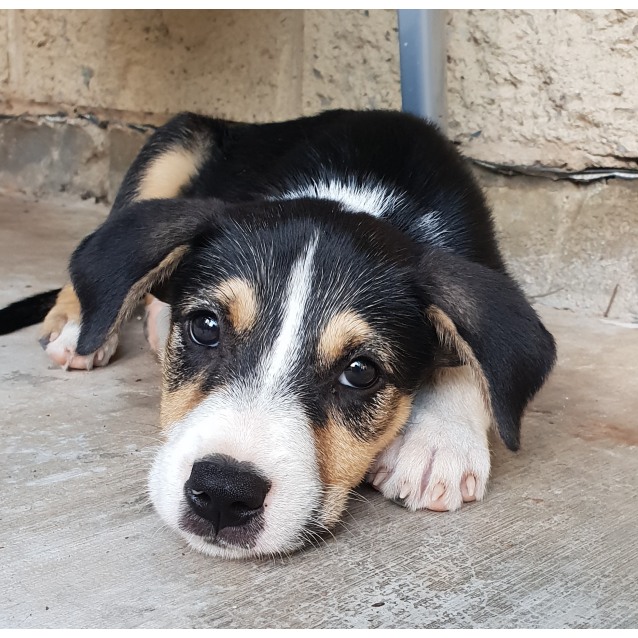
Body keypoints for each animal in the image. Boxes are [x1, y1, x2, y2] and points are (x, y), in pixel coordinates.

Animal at [0, 110, 556, 560]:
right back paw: (81, 327)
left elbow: (472, 359)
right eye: (206, 327)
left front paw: (440, 441)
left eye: (361, 372)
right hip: (176, 140)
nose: (222, 494)